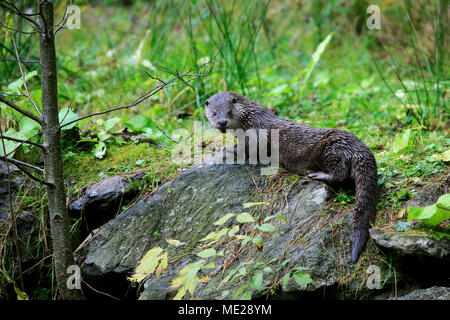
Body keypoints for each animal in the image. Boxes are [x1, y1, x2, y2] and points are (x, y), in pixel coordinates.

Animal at [206, 90, 378, 262]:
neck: (250, 118)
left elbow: (246, 150)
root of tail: (359, 147)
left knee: (339, 173)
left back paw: (317, 175)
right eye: (214, 113)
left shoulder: (256, 134)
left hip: (330, 150)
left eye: (229, 111)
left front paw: (226, 148)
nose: (222, 122)